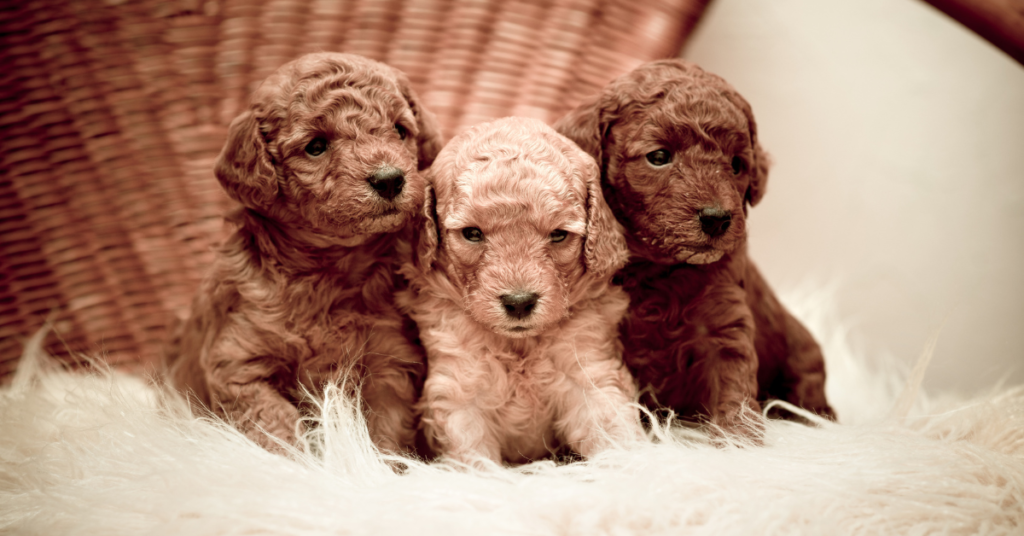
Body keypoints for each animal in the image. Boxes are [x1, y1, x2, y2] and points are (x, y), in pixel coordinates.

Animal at [163, 51, 444, 452]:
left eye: (400, 130)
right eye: (316, 146)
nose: (390, 179)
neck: (331, 270)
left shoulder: (389, 362)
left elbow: (381, 434)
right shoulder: (239, 363)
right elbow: (277, 427)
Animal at [399, 117, 638, 465]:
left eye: (558, 235)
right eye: (472, 233)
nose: (519, 302)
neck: (519, 347)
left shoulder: (590, 370)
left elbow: (613, 429)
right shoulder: (460, 392)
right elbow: (475, 458)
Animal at [557, 58, 835, 436]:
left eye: (737, 164)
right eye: (659, 156)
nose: (717, 219)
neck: (659, 270)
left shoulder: (724, 324)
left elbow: (734, 389)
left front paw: (737, 438)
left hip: (801, 358)